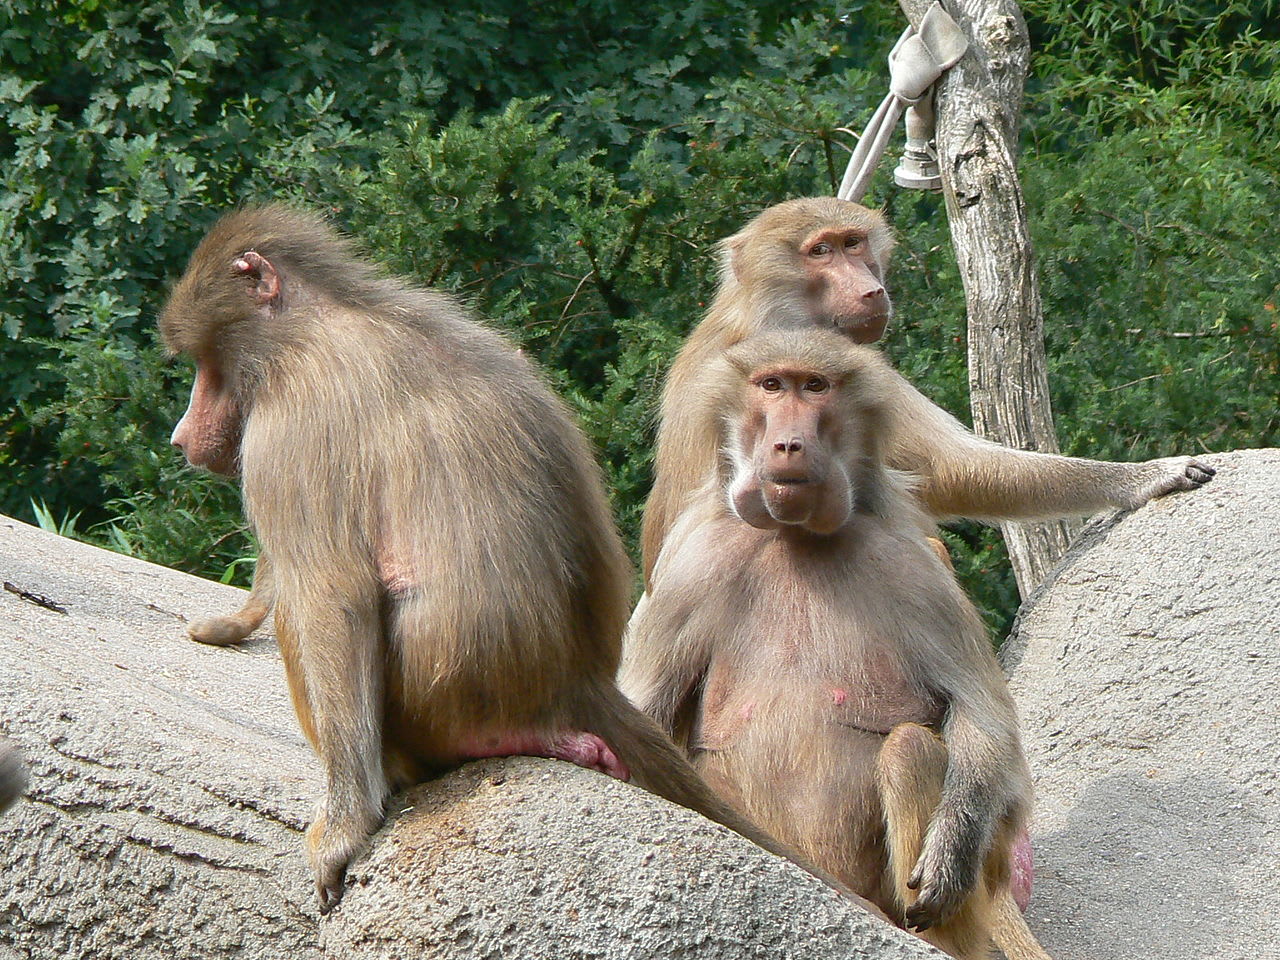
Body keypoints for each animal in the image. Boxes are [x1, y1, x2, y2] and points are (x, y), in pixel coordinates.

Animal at [160, 205, 865, 913]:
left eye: (205, 363)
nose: (181, 436)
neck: (315, 316)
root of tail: (578, 681)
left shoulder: (286, 428)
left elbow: (332, 599)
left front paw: (342, 831)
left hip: (432, 700)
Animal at [621, 329, 1052, 960]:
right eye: (771, 385)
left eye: (815, 386)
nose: (788, 444)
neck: (797, 539)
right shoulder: (690, 570)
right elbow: (646, 710)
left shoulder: (912, 568)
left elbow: (984, 719)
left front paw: (947, 859)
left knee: (910, 750)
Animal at [639, 195, 1215, 585]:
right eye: (820, 251)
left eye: (854, 244)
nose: (870, 290)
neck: (766, 308)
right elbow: (949, 467)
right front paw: (1143, 477)